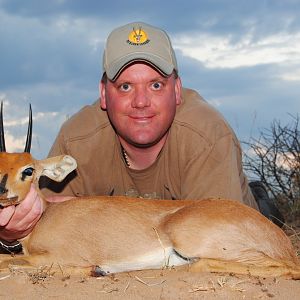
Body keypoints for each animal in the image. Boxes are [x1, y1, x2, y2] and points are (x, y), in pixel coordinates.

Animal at [0, 103, 300, 278]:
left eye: (29, 170)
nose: (4, 191)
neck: (45, 217)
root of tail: (280, 240)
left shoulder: (61, 258)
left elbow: (10, 262)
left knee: (285, 267)